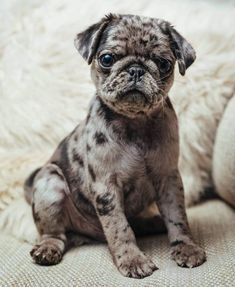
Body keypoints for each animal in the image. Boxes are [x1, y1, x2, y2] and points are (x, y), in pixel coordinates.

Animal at [23, 14, 206, 280]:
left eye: (163, 64)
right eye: (107, 59)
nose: (136, 69)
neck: (135, 122)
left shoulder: (168, 179)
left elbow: (177, 217)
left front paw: (186, 247)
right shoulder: (106, 188)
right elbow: (120, 228)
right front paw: (132, 259)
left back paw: (153, 223)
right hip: (50, 182)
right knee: (55, 233)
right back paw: (48, 248)